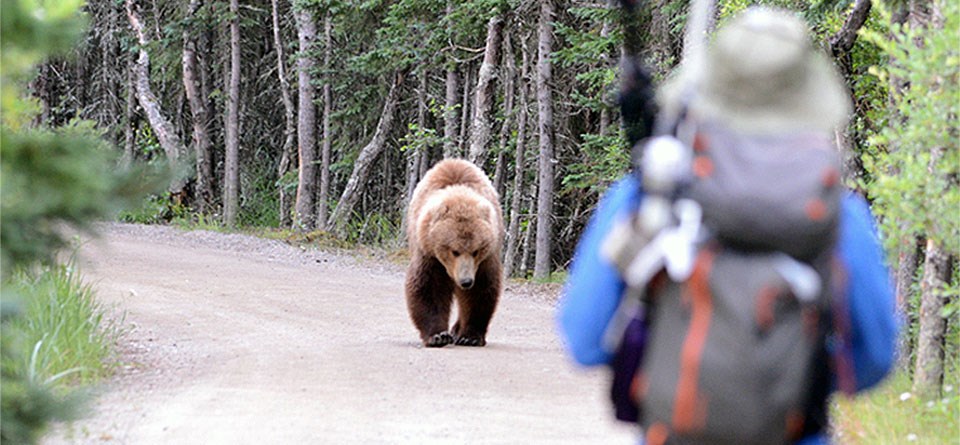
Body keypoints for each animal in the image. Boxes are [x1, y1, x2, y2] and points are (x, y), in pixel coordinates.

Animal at [405, 158, 504, 347]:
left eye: (476, 251)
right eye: (454, 251)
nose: (466, 281)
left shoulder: (484, 260)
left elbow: (479, 291)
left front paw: (470, 336)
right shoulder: (428, 253)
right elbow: (429, 287)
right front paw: (438, 336)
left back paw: (457, 330)